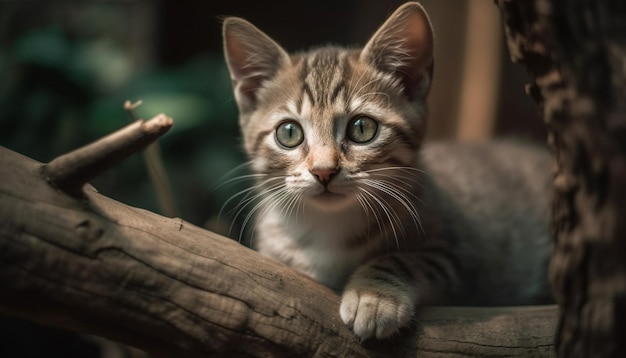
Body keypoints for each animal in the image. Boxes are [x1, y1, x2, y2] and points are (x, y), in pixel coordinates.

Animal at [221, 0, 552, 342]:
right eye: (289, 133)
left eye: (362, 128)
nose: (323, 171)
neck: (328, 227)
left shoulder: (463, 254)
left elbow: (403, 259)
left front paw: (374, 297)